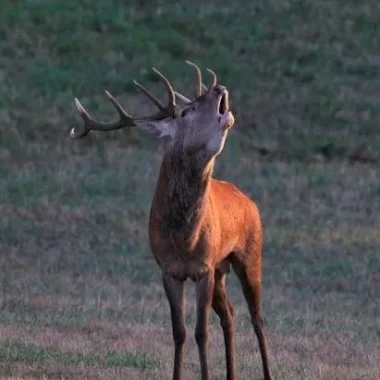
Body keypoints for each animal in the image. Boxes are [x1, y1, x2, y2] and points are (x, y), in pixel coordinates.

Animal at [70, 61, 274, 380]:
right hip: (221, 268)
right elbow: (179, 332)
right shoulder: (168, 270)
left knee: (258, 318)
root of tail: (248, 200)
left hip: (249, 254)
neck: (184, 241)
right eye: (187, 111)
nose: (219, 88)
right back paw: (232, 374)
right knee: (229, 314)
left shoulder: (203, 269)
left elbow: (201, 333)